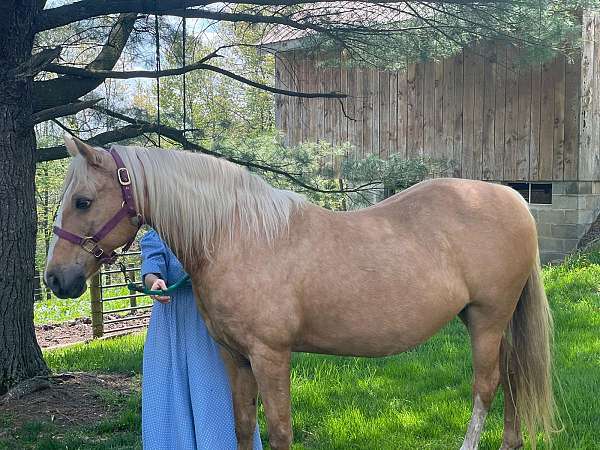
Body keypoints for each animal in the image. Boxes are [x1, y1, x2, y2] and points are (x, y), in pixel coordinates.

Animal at [44, 137, 556, 450]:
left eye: (83, 202)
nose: (54, 280)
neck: (240, 236)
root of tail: (513, 199)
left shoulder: (271, 356)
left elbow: (280, 431)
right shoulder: (235, 357)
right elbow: (243, 427)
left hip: (488, 319)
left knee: (486, 387)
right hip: (488, 321)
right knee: (512, 377)